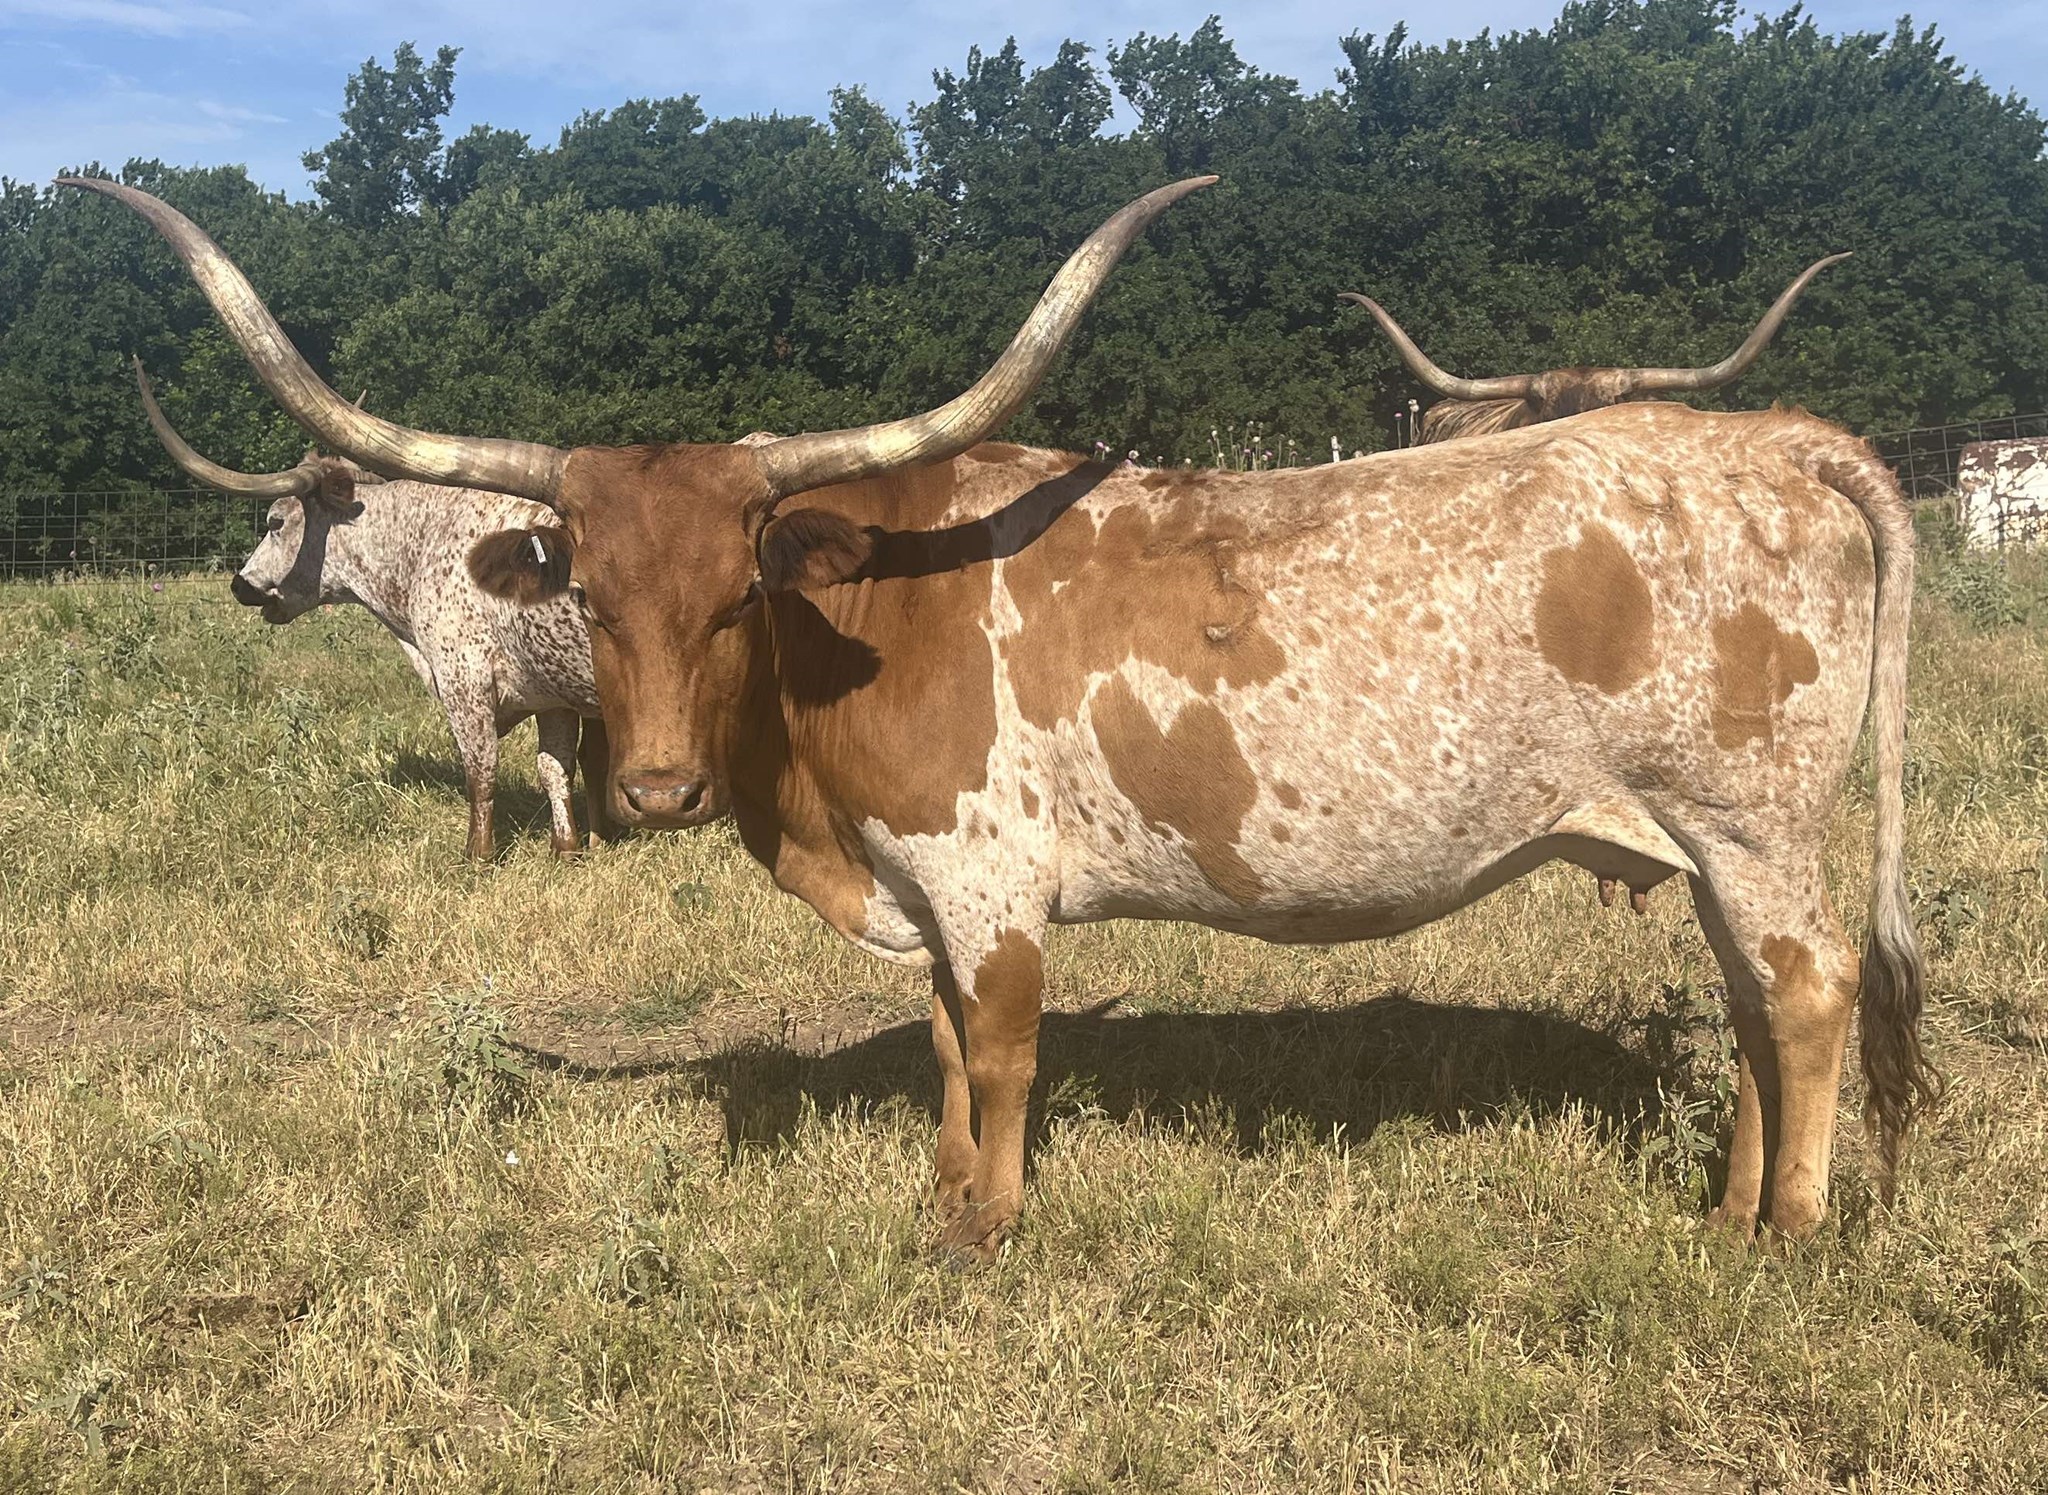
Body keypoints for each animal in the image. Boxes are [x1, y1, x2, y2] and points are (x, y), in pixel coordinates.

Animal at [131, 359, 608, 860]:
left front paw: (476, 855)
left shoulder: (464, 677)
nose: (240, 584)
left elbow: (481, 772)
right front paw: (566, 849)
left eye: (275, 521)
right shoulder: (550, 692)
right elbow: (554, 768)